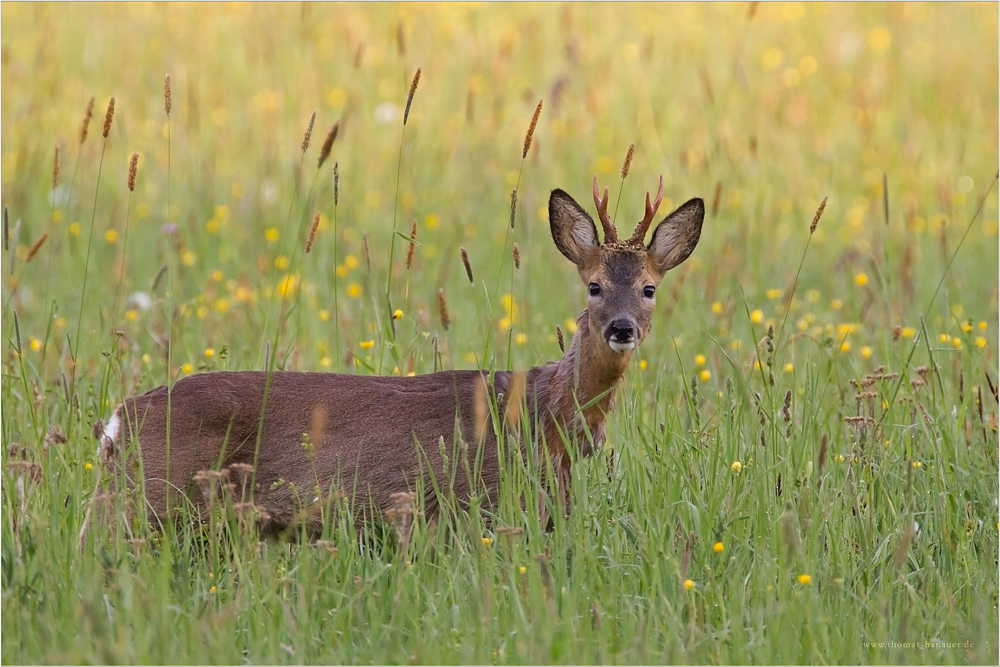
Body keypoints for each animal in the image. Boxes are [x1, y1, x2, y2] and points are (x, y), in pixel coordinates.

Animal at [97, 176, 700, 532]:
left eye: (648, 288)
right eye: (594, 285)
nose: (622, 327)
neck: (546, 414)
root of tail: (118, 420)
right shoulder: (478, 499)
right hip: (147, 498)